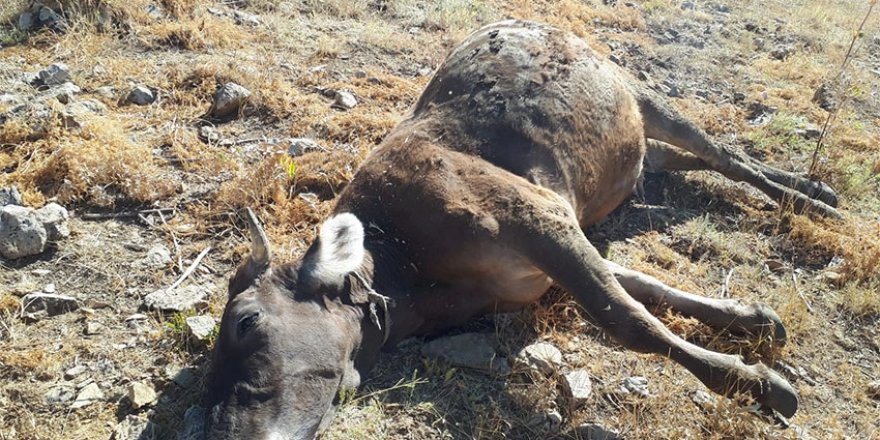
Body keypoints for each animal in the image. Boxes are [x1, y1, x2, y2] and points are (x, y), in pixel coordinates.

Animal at [205, 20, 840, 440]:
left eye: (246, 321)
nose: (222, 428)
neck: (409, 273)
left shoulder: (532, 216)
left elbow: (628, 318)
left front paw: (757, 384)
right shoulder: (538, 258)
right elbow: (642, 287)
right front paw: (754, 319)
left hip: (643, 93)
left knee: (723, 153)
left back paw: (815, 198)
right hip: (635, 148)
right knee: (678, 160)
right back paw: (812, 193)